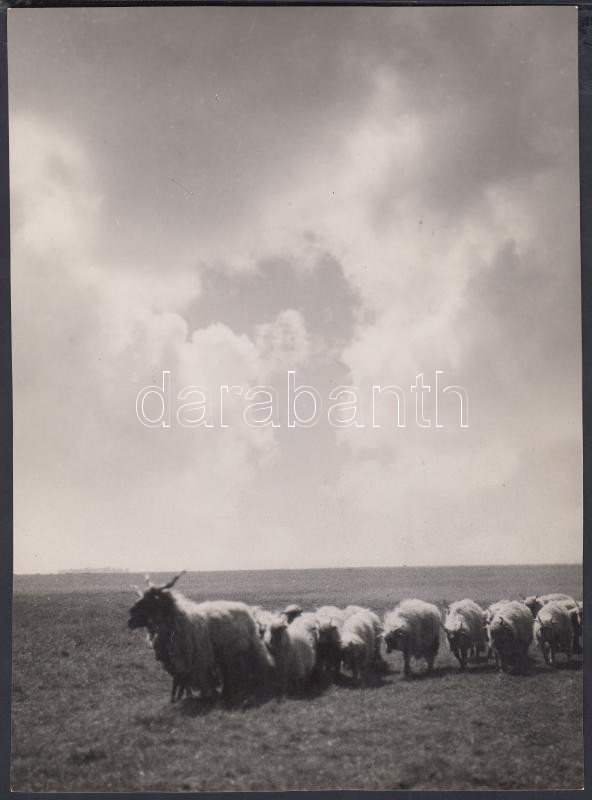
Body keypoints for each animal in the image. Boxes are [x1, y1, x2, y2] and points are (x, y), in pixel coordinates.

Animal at [128, 573, 274, 702]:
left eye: (152, 599)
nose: (131, 612)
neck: (179, 620)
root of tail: (247, 610)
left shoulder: (197, 659)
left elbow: (197, 679)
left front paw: (202, 695)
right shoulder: (178, 662)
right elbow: (180, 681)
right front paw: (179, 698)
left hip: (242, 650)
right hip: (227, 653)